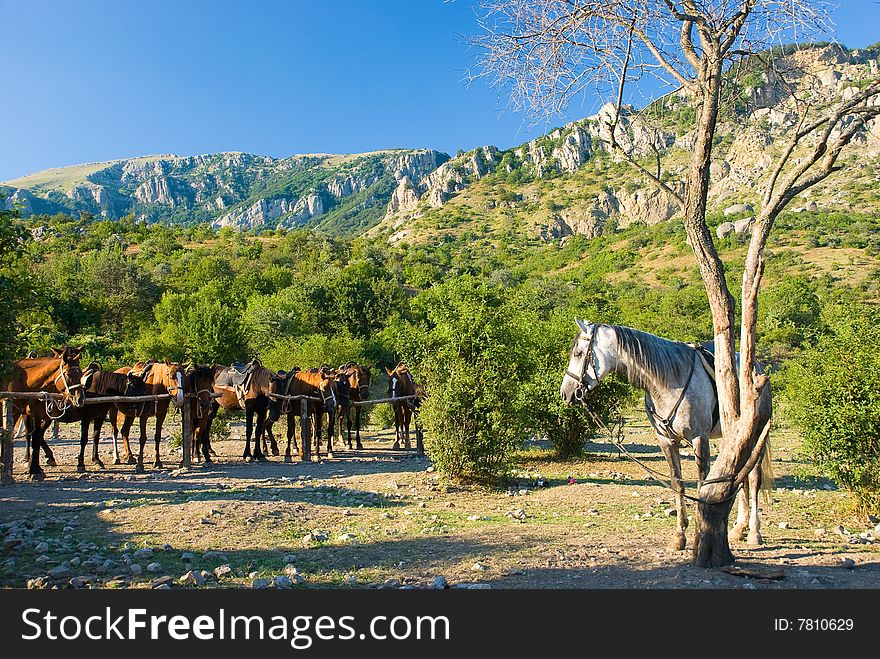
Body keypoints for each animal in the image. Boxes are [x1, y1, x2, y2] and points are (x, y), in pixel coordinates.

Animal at [2, 348, 86, 482]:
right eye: (68, 374)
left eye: (81, 374)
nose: (80, 399)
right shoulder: (16, 412)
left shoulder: (42, 415)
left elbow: (37, 438)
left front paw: (35, 469)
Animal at [560, 320, 772, 552]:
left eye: (579, 353)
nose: (565, 393)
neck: (668, 381)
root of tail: (757, 368)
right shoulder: (666, 442)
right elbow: (677, 483)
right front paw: (679, 536)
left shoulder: (699, 439)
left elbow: (702, 485)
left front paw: (700, 532)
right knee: (740, 475)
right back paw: (738, 528)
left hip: (756, 432)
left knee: (753, 478)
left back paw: (754, 532)